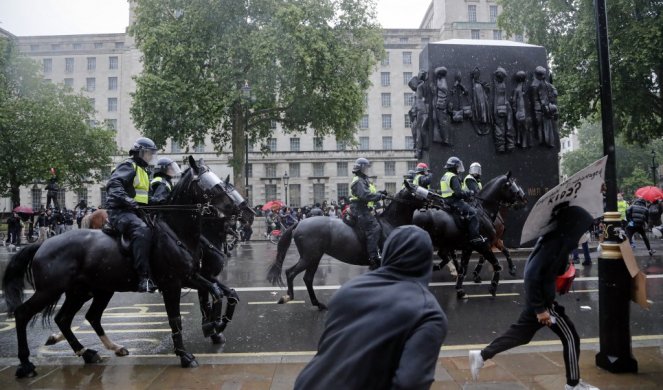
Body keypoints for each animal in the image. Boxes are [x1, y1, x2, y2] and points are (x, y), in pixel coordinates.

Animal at [1, 157, 239, 376]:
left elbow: (221, 292)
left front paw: (214, 325)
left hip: (86, 291)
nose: (238, 208)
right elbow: (176, 318)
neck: (176, 232)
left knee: (71, 318)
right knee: (24, 313)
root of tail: (43, 244)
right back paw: (25, 364)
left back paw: (90, 353)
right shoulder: (172, 284)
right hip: (51, 290)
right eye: (211, 184)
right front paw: (186, 353)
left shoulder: (191, 276)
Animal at [268, 184, 434, 310]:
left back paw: (318, 303)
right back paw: (288, 297)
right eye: (418, 190)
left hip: (314, 258)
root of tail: (300, 223)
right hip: (310, 257)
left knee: (307, 278)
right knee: (290, 273)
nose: (436, 199)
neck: (390, 222)